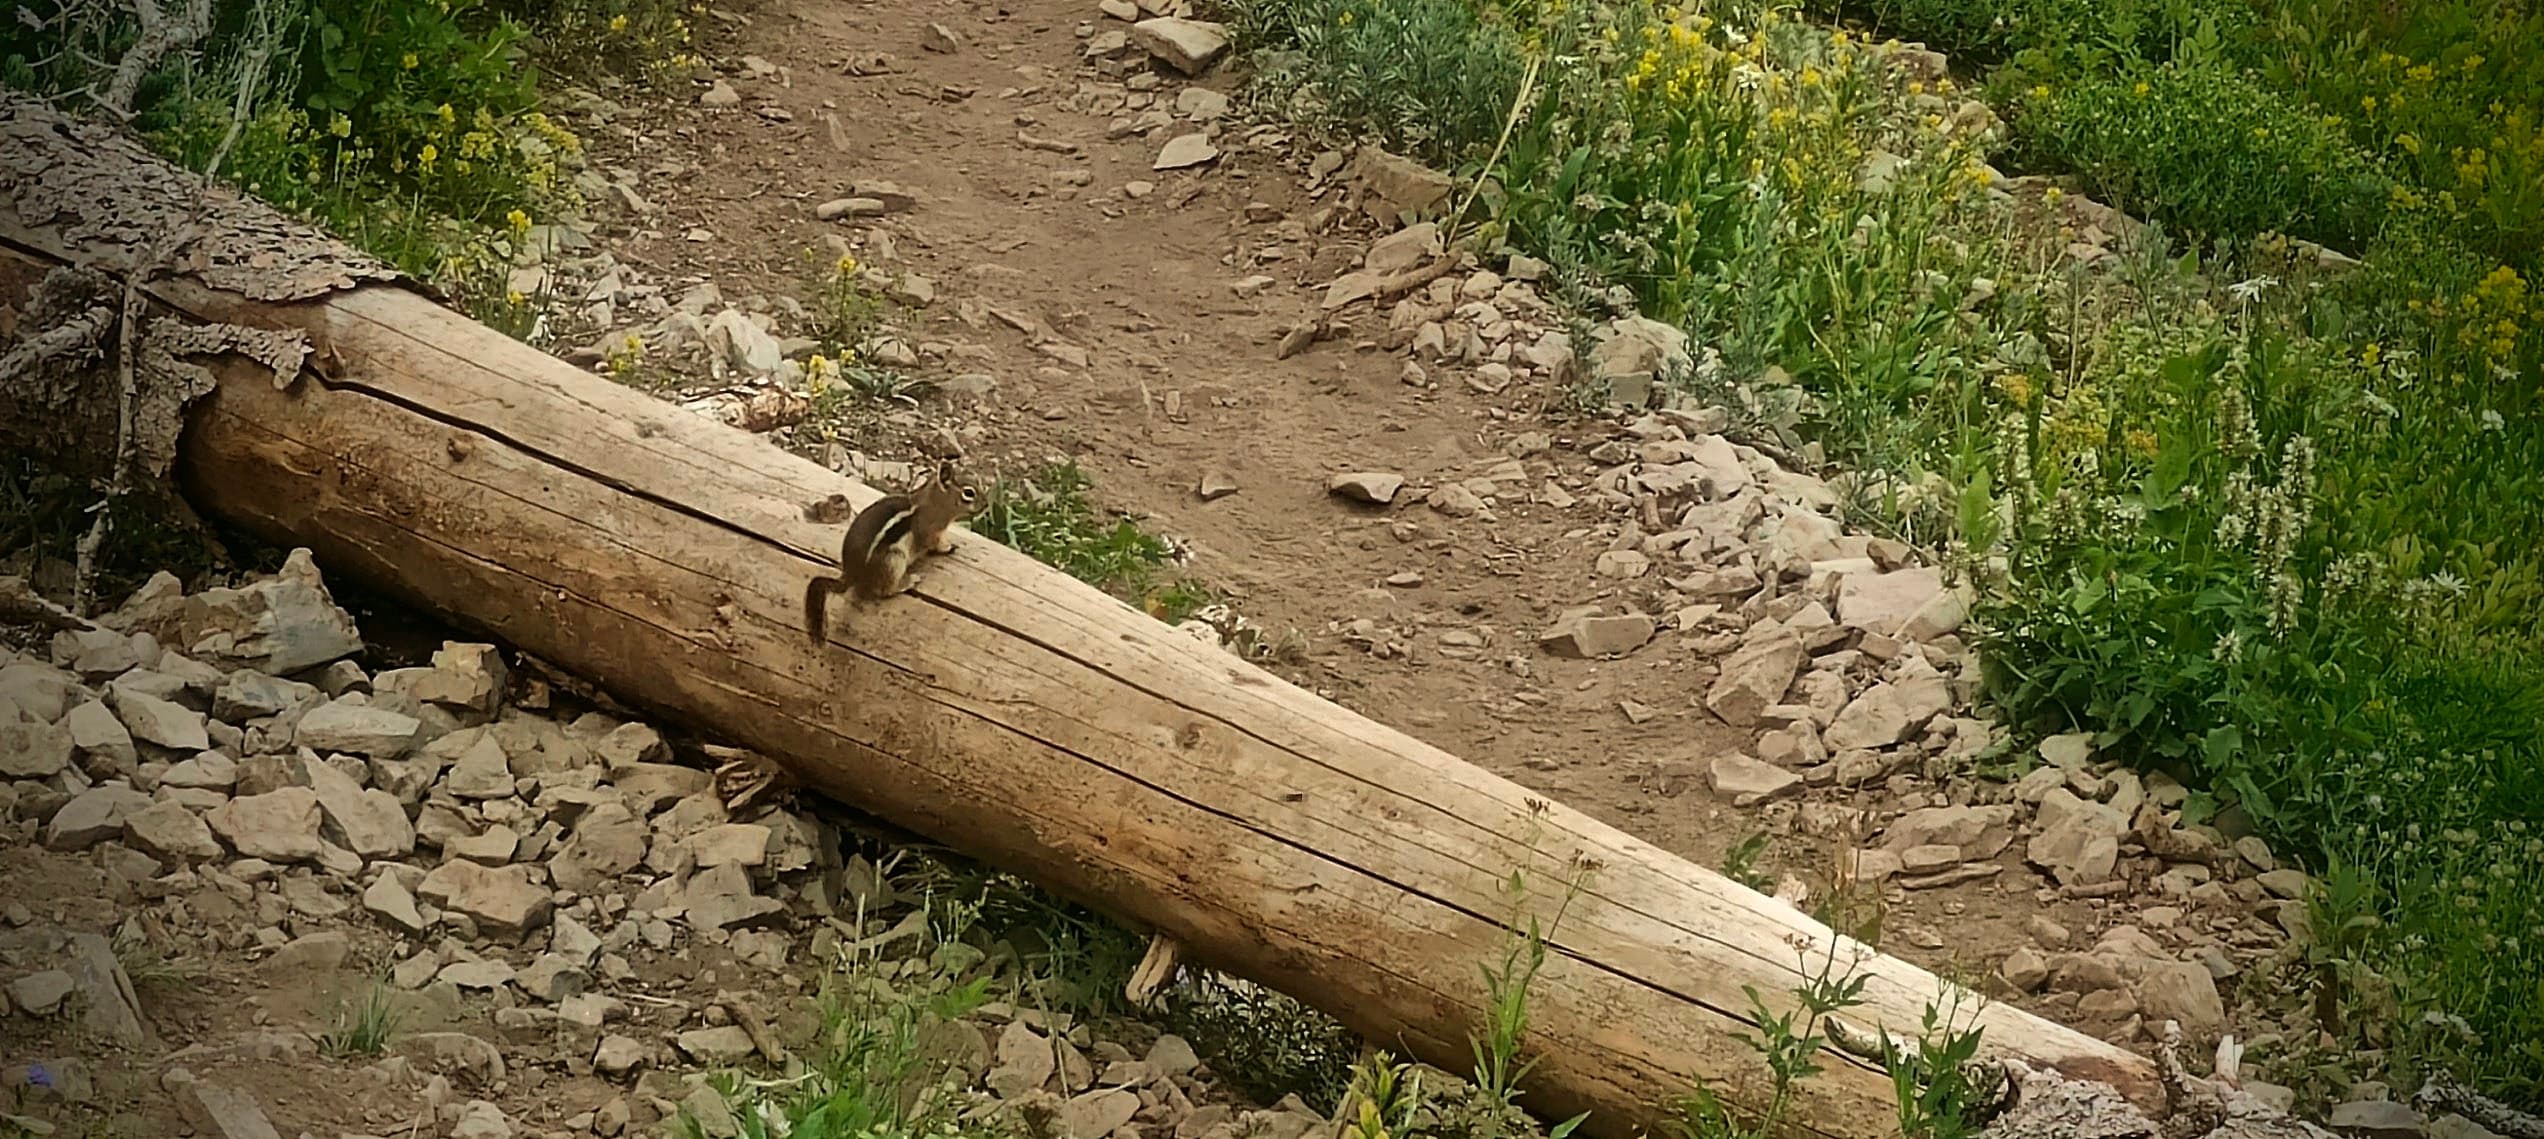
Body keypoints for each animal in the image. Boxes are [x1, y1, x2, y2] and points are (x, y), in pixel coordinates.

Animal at [802, 460, 979, 644]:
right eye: (969, 492)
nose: (986, 506)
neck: (934, 502)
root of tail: (851, 574)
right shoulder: (930, 531)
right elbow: (934, 543)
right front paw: (948, 547)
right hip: (894, 560)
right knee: (884, 591)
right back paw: (909, 581)